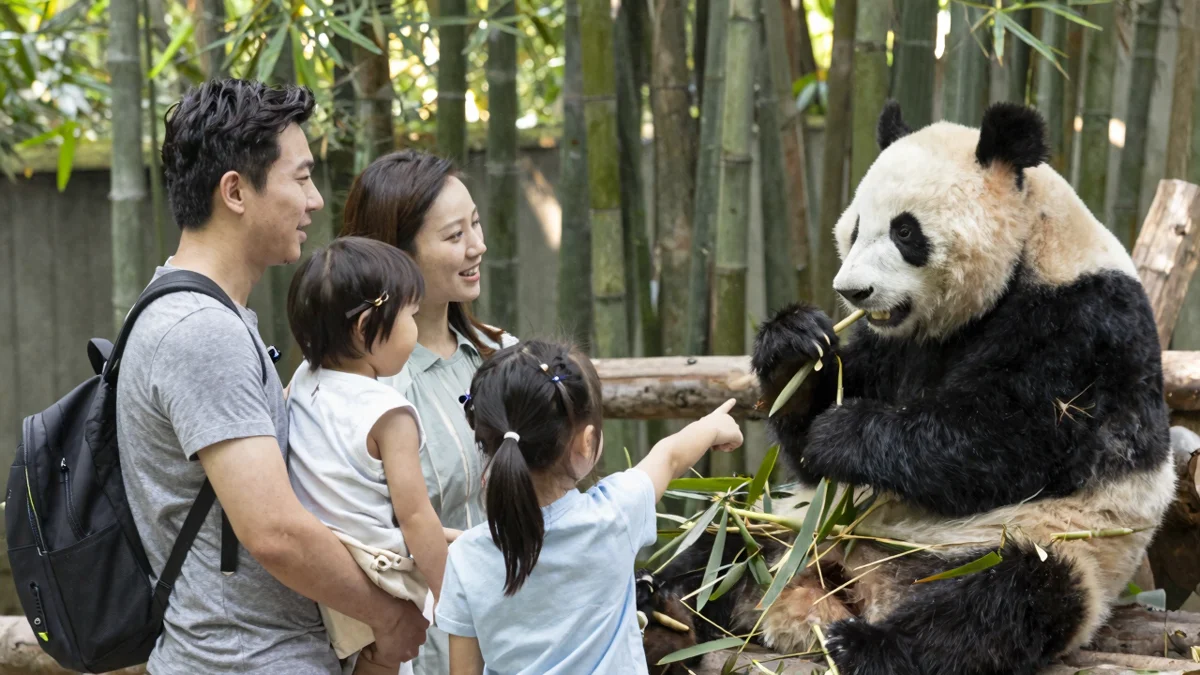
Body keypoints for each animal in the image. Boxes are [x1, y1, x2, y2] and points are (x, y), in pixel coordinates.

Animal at [638, 100, 1176, 675]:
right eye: (855, 229)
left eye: (905, 232)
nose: (853, 291)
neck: (1028, 252)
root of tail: (850, 580)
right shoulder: (894, 345)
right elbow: (811, 442)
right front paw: (794, 347)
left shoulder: (1085, 324)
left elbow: (1009, 440)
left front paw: (844, 434)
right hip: (788, 519)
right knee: (717, 550)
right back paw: (666, 620)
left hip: (1043, 544)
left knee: (999, 603)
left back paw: (864, 646)